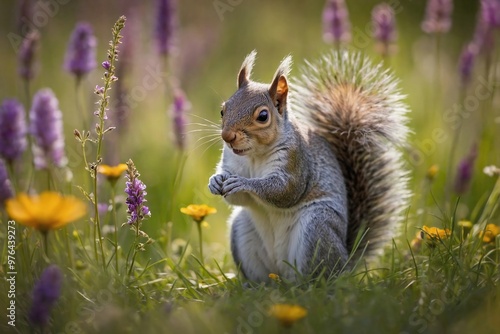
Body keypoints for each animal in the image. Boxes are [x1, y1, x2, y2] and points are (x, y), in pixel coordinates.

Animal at [209, 50, 408, 282]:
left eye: (263, 116)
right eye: (223, 110)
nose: (227, 136)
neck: (255, 154)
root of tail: (346, 262)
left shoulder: (296, 160)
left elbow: (286, 190)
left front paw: (244, 183)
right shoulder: (232, 161)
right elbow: (236, 197)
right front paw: (215, 181)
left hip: (317, 228)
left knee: (318, 276)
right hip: (242, 231)